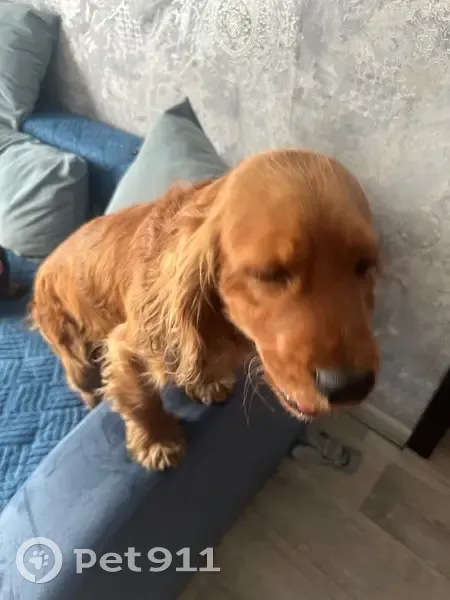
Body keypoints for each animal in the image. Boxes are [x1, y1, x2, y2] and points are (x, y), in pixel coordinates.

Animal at [30, 149, 380, 471]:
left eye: (364, 265)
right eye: (270, 274)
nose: (350, 386)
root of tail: (43, 266)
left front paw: (205, 382)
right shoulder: (126, 347)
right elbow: (141, 400)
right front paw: (158, 441)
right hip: (74, 353)